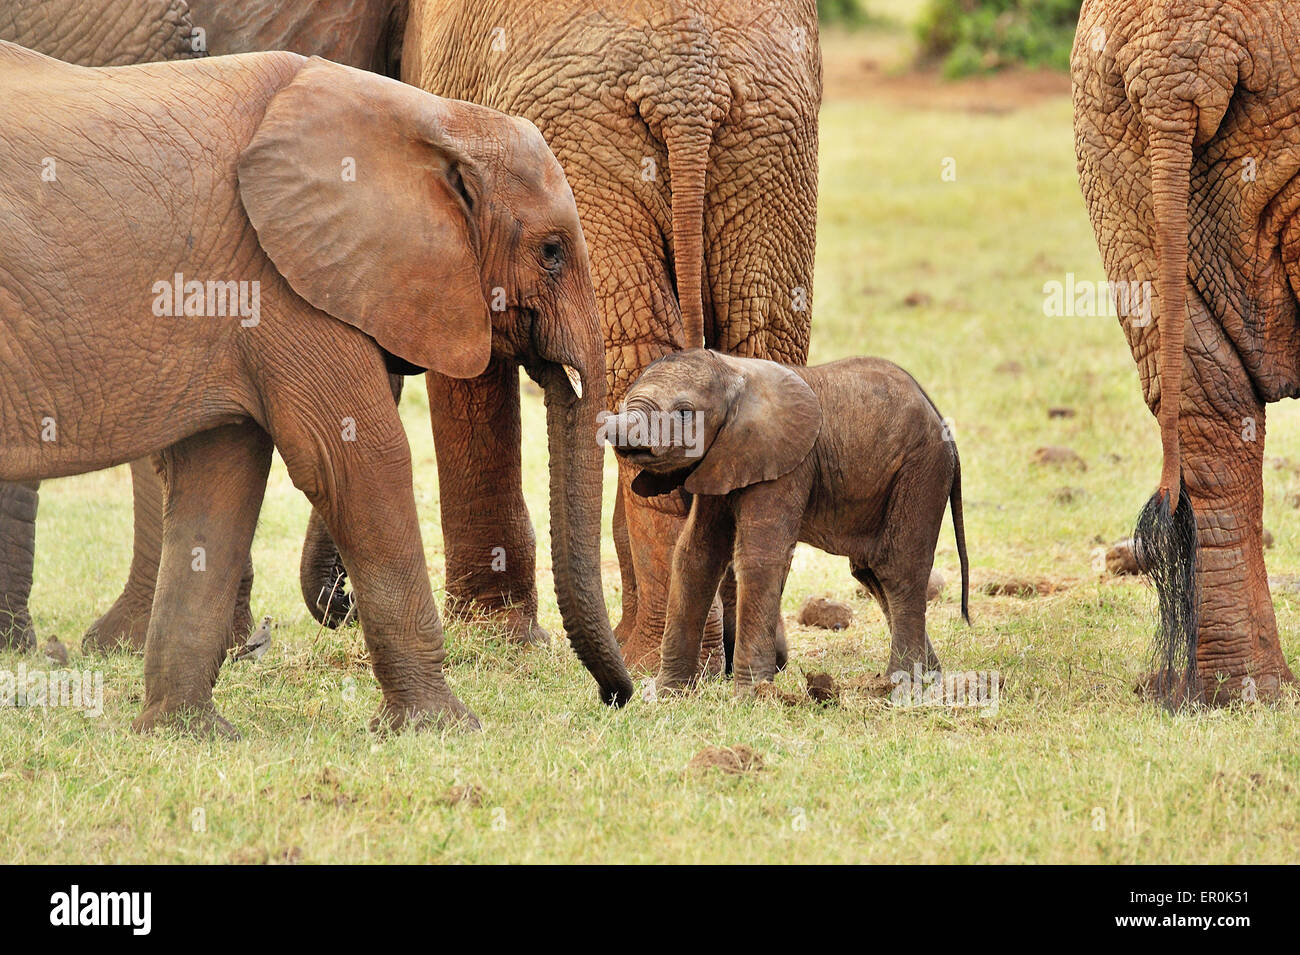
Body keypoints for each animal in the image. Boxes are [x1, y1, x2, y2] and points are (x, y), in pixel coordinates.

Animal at [0, 40, 633, 734]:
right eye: (551, 252)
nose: (619, 697)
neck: (435, 118)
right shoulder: (278, 282)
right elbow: (357, 462)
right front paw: (444, 727)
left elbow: (221, 481)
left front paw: (187, 734)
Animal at [605, 350, 969, 693]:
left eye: (684, 412)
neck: (732, 369)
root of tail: (946, 429)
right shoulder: (719, 460)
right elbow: (696, 556)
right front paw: (668, 694)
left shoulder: (786, 463)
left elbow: (759, 558)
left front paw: (751, 696)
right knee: (870, 571)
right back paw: (929, 677)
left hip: (921, 470)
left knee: (897, 569)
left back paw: (900, 683)